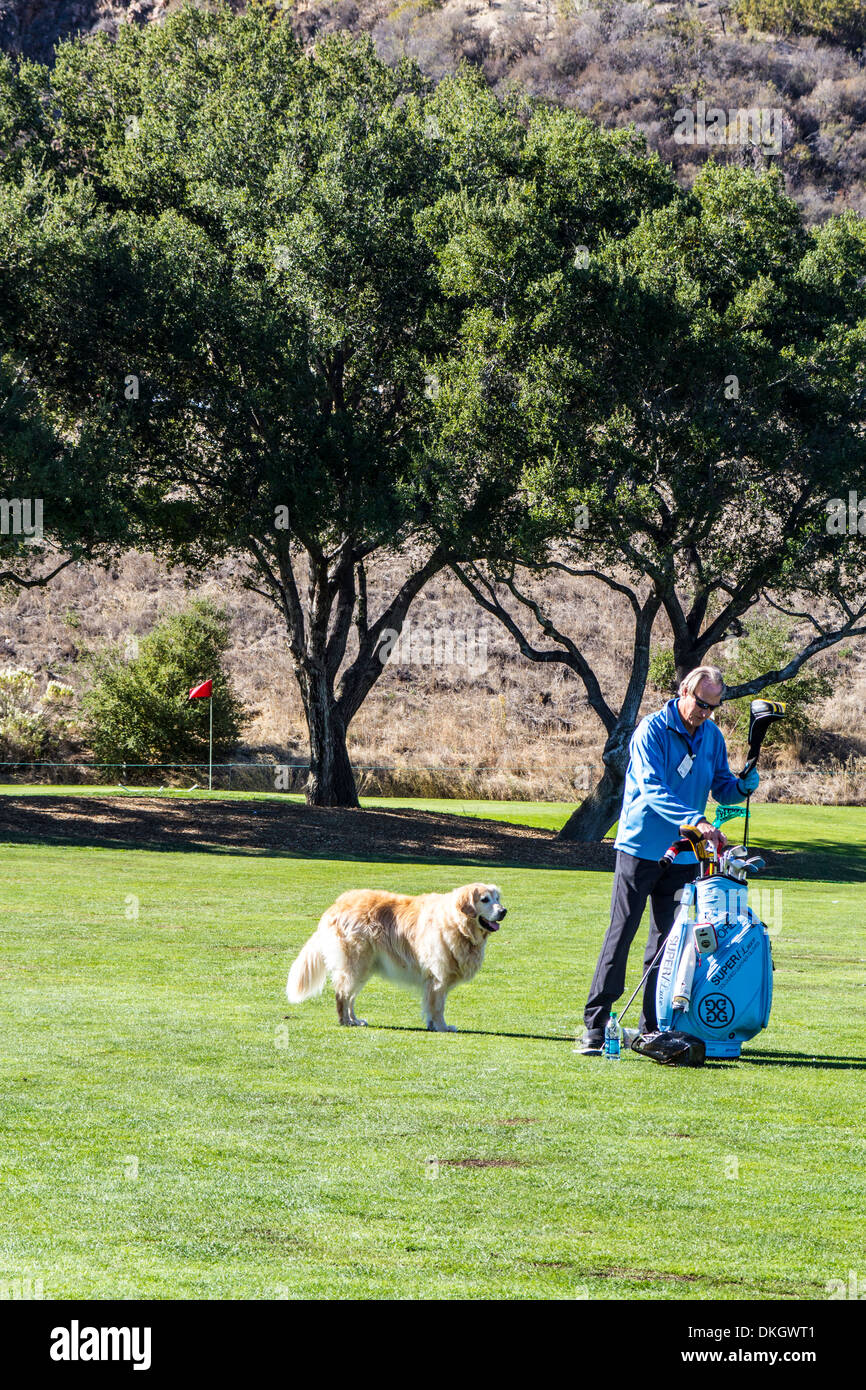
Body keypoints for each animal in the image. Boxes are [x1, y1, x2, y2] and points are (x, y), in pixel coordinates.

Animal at [287, 884, 508, 1028]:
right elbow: (438, 1007)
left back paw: (354, 1020)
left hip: (364, 968)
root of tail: (337, 905)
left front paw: (433, 1025)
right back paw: (345, 1021)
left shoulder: (436, 980)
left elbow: (433, 1006)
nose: (504, 911)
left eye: (497, 899)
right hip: (356, 963)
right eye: (485, 900)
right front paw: (442, 1027)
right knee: (342, 994)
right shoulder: (438, 976)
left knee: (351, 996)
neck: (457, 923)